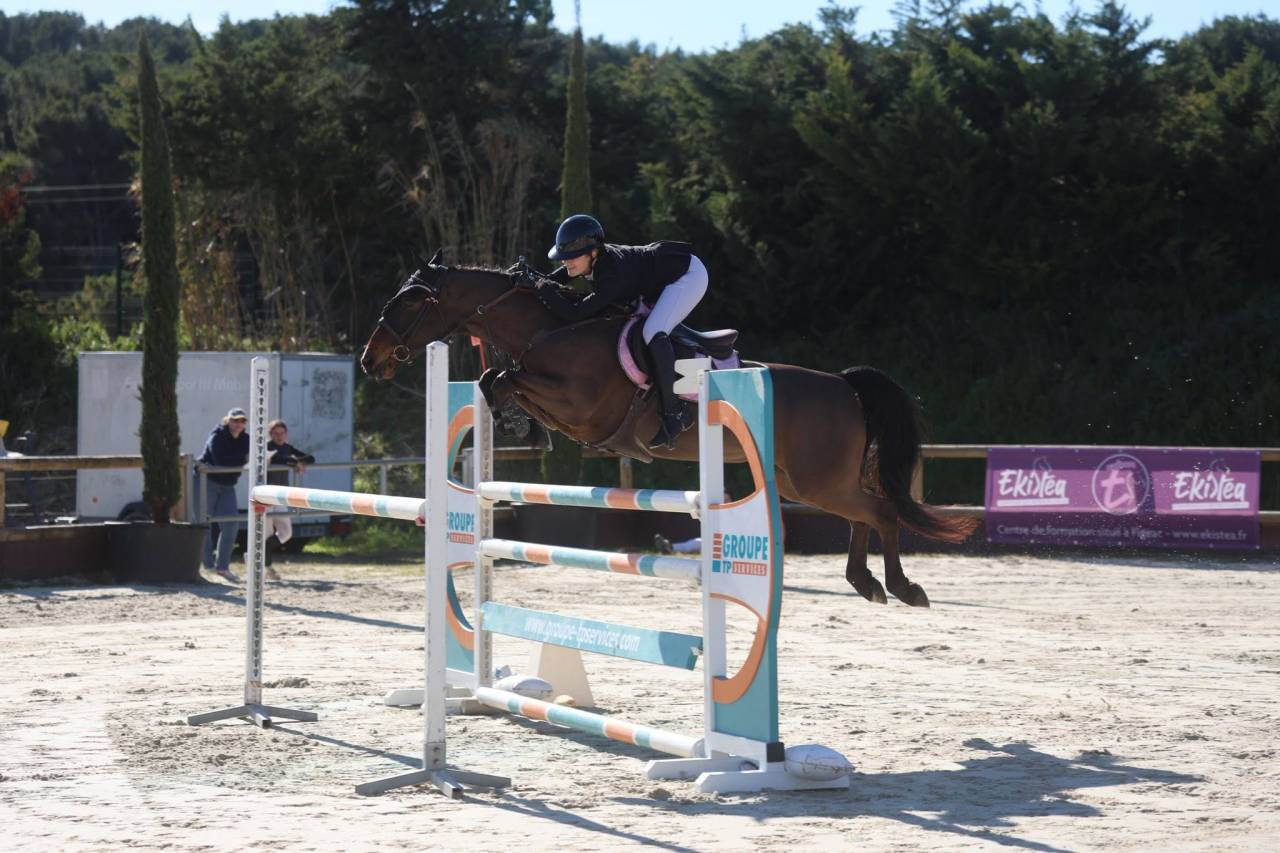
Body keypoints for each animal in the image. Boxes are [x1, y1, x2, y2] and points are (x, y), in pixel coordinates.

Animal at [360, 255, 978, 606]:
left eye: (409, 301)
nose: (370, 359)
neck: (555, 328)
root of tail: (845, 387)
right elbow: (497, 379)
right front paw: (518, 425)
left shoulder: (585, 407)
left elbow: (506, 377)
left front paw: (514, 417)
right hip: (805, 481)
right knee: (863, 513)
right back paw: (864, 582)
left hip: (818, 480)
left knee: (881, 511)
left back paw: (901, 587)